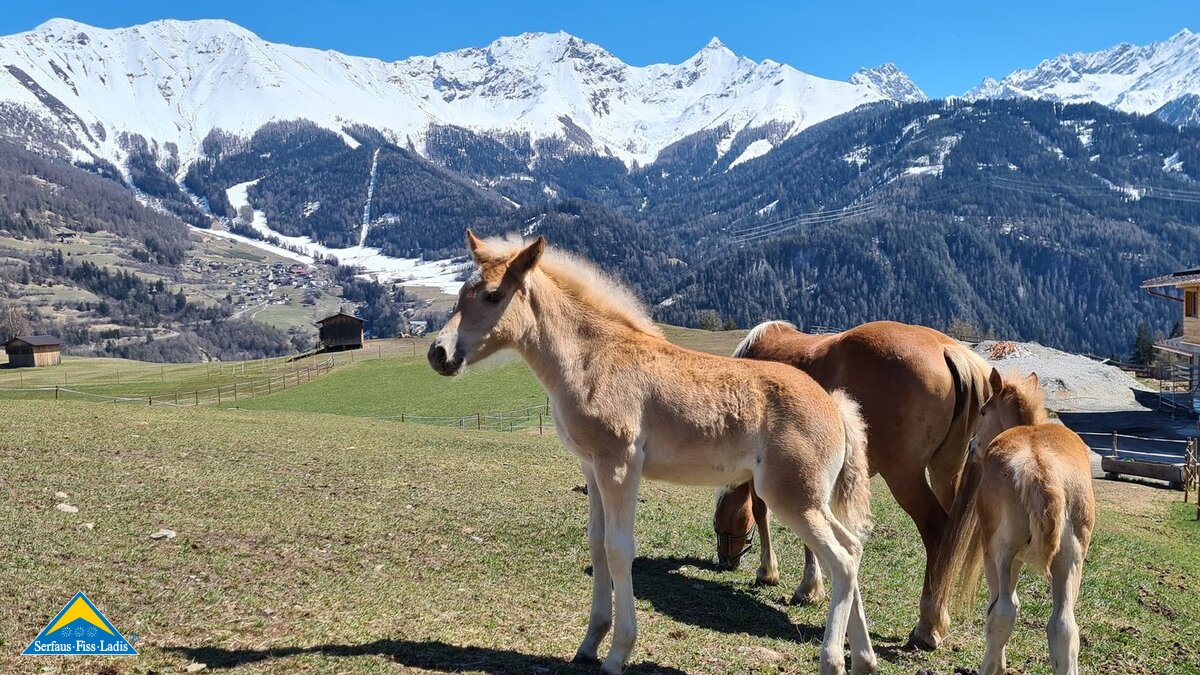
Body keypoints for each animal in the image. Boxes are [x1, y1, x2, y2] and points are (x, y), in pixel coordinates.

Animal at [428, 231, 878, 675]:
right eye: (461, 293)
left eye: (493, 295)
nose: (438, 353)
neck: (592, 359)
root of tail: (834, 405)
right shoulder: (591, 468)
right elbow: (597, 545)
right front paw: (589, 644)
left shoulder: (619, 466)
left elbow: (619, 549)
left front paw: (617, 653)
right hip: (813, 499)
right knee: (853, 550)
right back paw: (865, 659)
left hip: (792, 497)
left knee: (841, 560)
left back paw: (833, 660)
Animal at [712, 320, 992, 649]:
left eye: (718, 526)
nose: (725, 561)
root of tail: (946, 348)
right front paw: (811, 587)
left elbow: (761, 512)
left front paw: (770, 573)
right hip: (946, 472)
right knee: (951, 541)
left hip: (905, 479)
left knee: (936, 532)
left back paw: (927, 626)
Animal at [932, 370, 1096, 675]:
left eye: (983, 411)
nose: (972, 445)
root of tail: (1040, 468)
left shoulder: (999, 556)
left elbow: (999, 606)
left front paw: (998, 662)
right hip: (1070, 558)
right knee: (1064, 626)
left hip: (1002, 551)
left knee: (1004, 611)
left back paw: (988, 667)